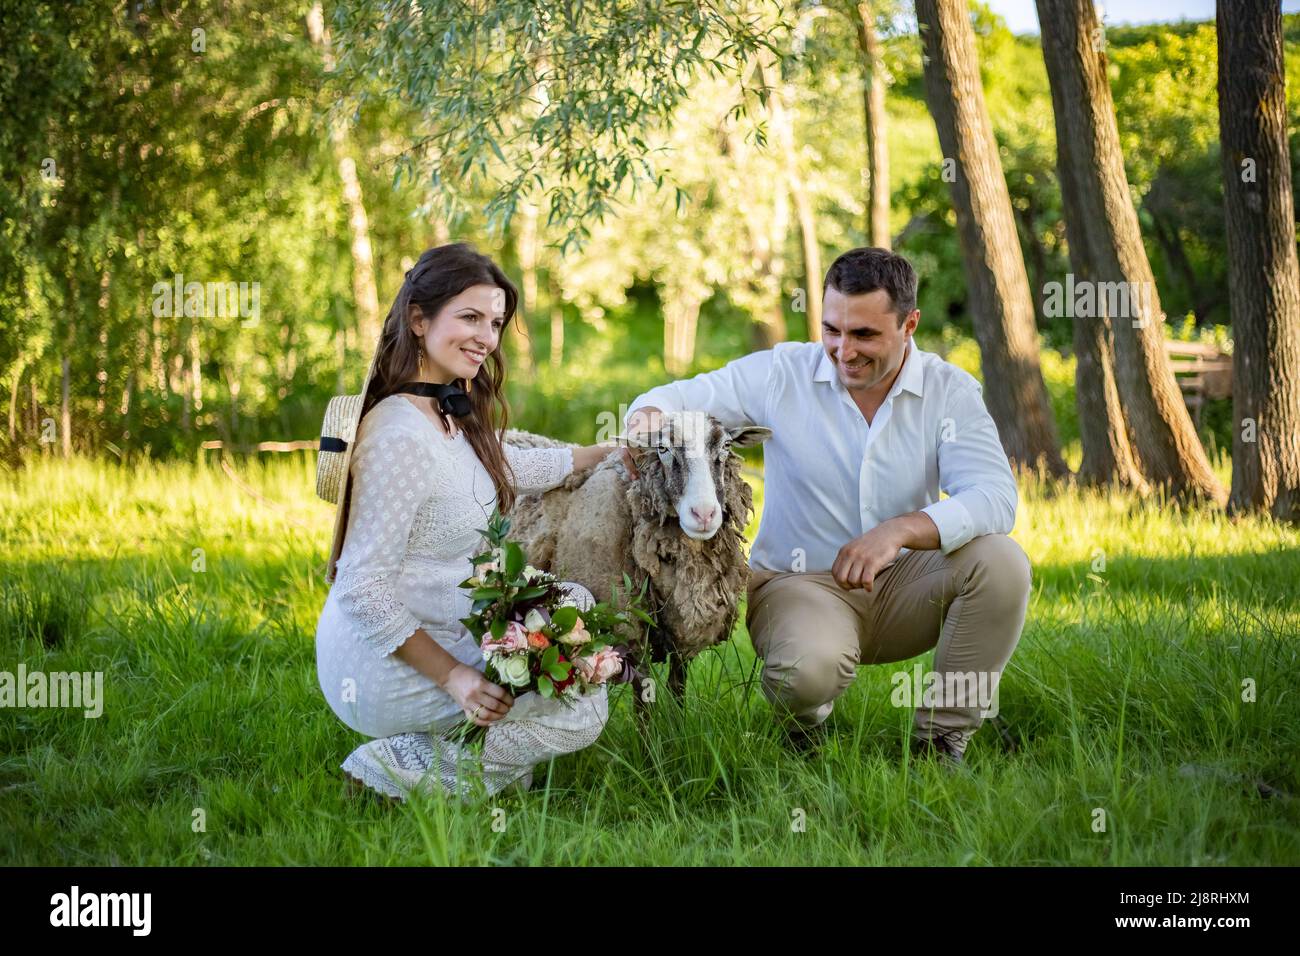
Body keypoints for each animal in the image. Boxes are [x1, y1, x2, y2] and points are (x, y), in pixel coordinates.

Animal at [504, 413, 769, 702]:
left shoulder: (682, 633)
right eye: (663, 448)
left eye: (726, 446)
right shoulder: (626, 626)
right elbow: (644, 693)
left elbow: (678, 688)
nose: (704, 514)